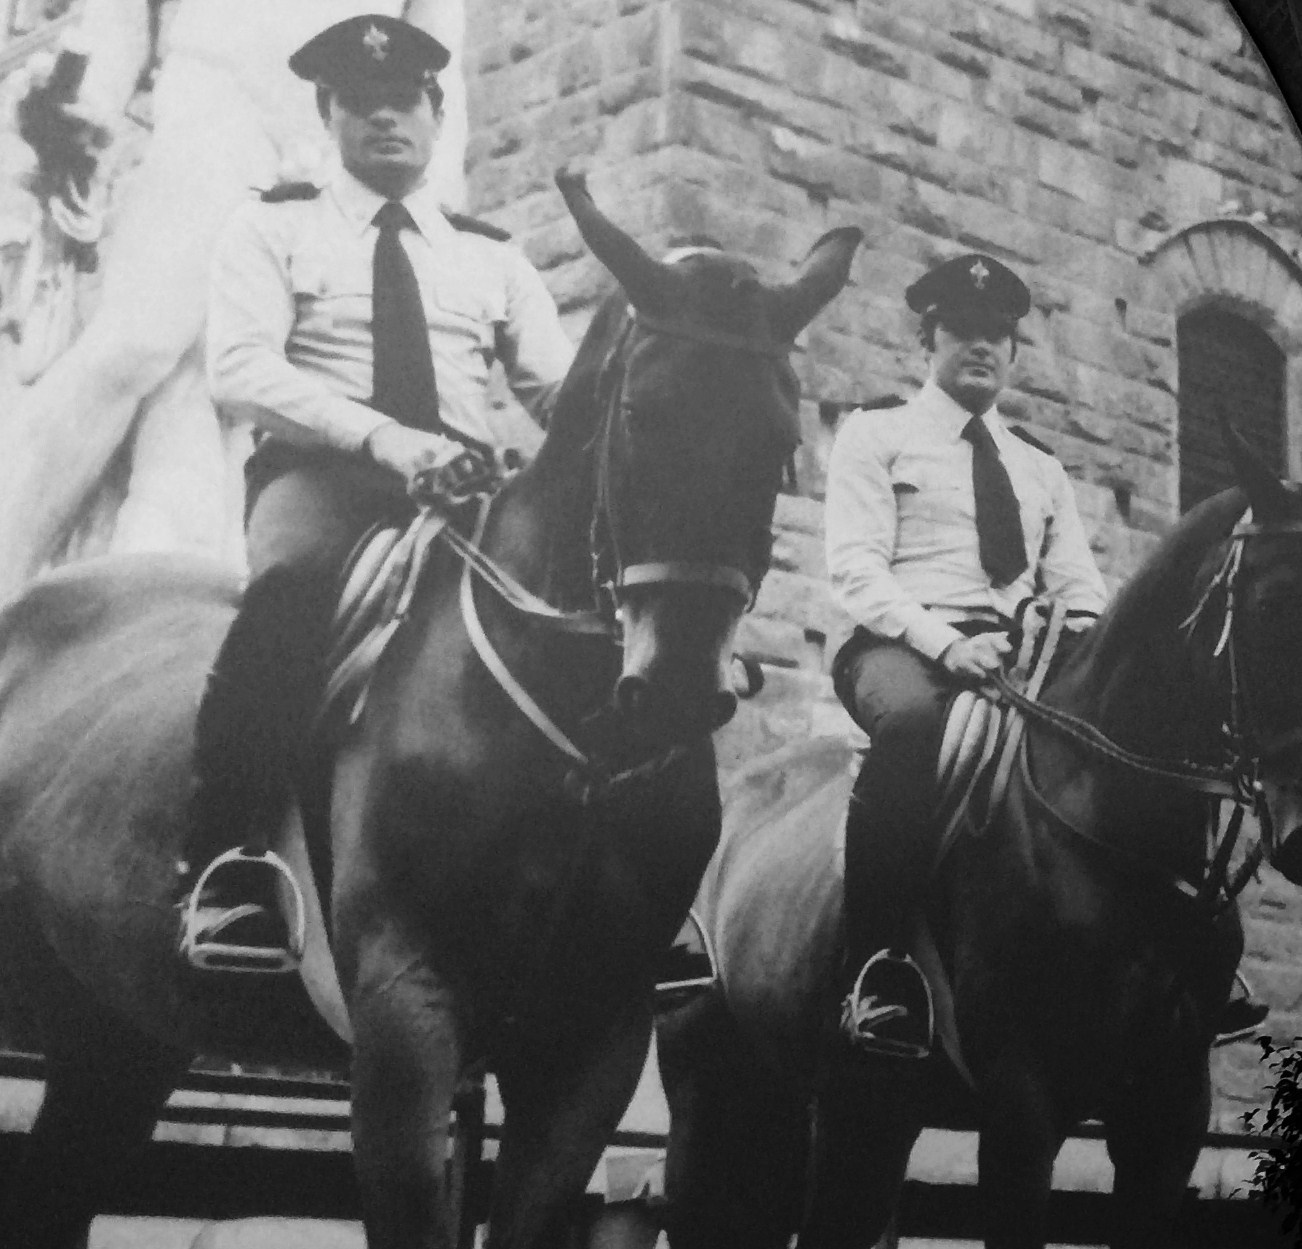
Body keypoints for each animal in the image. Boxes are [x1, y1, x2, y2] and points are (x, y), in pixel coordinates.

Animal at [0, 178, 864, 1249]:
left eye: (783, 442)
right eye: (640, 416)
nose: (671, 687)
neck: (571, 742)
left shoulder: (591, 1040)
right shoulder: (404, 1013)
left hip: (114, 1035)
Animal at [661, 432, 1302, 1249]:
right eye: (1273, 603)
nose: (1301, 830)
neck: (1112, 842)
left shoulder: (1169, 1114)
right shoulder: (1021, 1104)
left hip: (848, 1110)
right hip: (710, 1100)